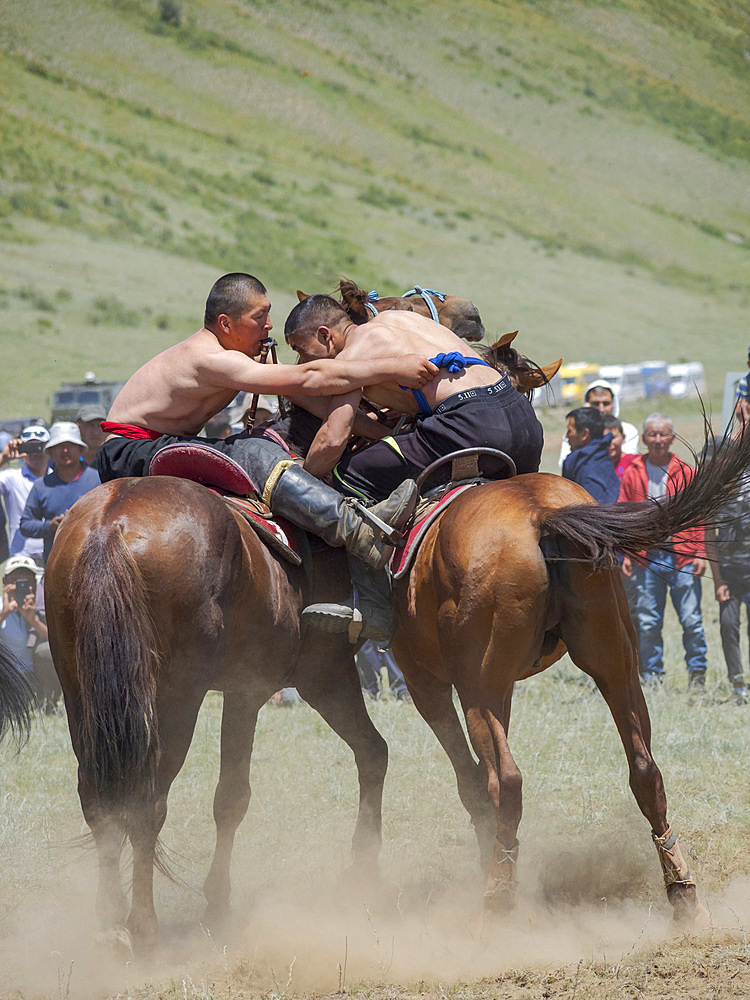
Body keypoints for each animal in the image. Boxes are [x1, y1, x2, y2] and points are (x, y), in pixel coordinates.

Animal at [43, 480, 388, 956]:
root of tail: (110, 524)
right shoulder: (304, 679)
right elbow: (235, 796)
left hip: (82, 694)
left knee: (99, 801)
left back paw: (110, 922)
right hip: (179, 697)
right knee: (148, 804)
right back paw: (144, 926)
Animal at [394, 438, 750, 928]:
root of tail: (540, 516)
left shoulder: (423, 679)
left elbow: (472, 781)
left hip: (476, 690)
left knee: (505, 781)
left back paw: (497, 896)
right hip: (616, 666)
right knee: (645, 769)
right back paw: (683, 892)